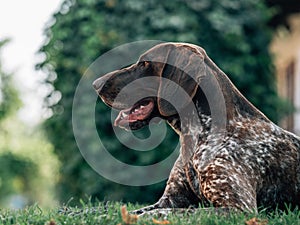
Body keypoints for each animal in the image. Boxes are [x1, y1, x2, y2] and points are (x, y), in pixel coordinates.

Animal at [92, 41, 298, 213]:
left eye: (144, 64)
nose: (96, 84)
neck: (196, 135)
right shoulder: (169, 200)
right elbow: (130, 211)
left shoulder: (237, 207)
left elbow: (166, 213)